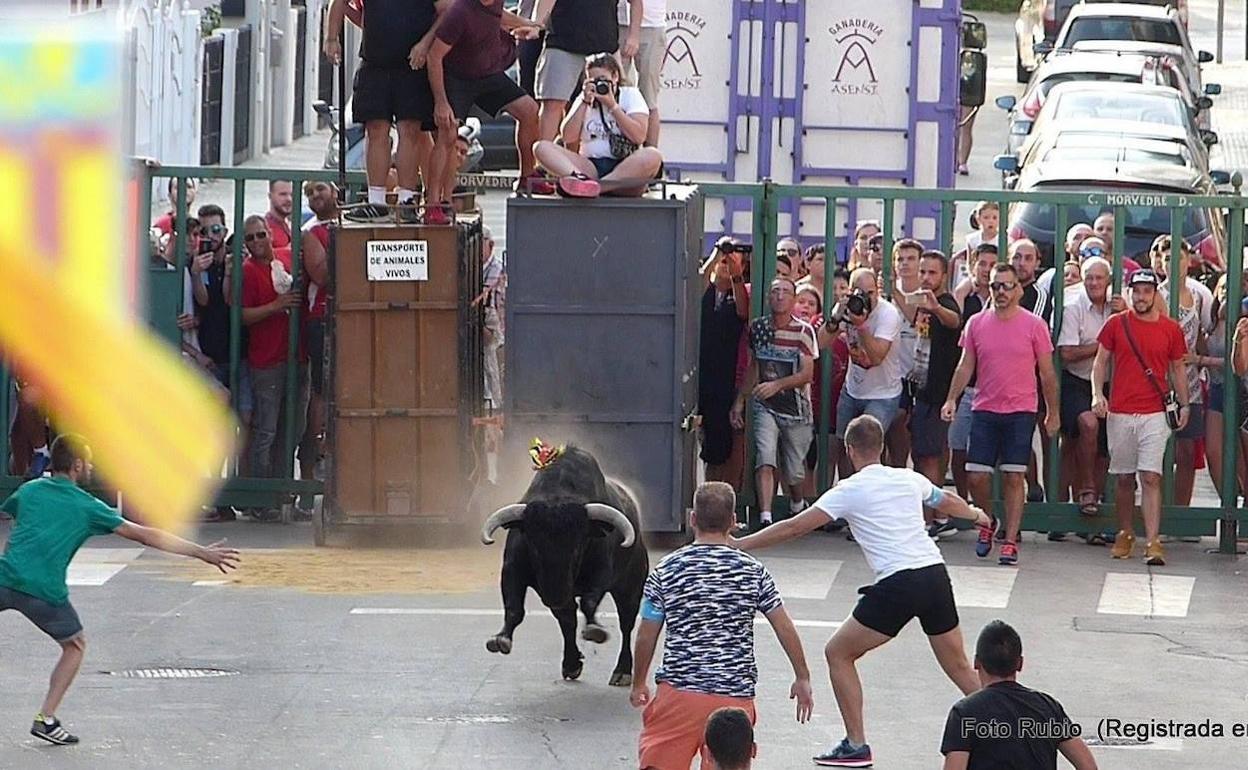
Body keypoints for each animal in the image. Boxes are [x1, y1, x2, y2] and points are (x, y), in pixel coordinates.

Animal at [479, 444, 653, 683]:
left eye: (579, 544)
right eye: (532, 543)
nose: (555, 595)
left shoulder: (601, 573)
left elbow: (589, 603)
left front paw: (594, 630)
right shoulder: (512, 570)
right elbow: (514, 609)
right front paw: (501, 640)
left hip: (630, 587)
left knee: (626, 623)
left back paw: (622, 671)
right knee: (568, 620)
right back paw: (571, 664)